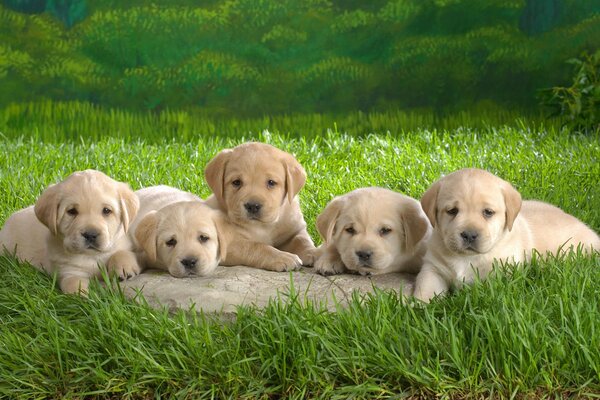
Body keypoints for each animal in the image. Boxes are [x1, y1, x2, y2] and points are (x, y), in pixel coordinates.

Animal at [0, 170, 140, 296]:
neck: (91, 256)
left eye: (106, 210)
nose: (90, 234)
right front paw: (84, 299)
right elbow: (74, 285)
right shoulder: (68, 272)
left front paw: (124, 267)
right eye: (72, 211)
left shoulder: (123, 243)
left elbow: (121, 252)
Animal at [204, 141, 316, 272]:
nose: (252, 206)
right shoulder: (229, 245)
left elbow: (302, 240)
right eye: (236, 182)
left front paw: (314, 252)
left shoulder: (295, 229)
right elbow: (258, 247)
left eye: (271, 182)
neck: (264, 226)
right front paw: (283, 257)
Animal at [412, 167, 600, 302]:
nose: (469, 235)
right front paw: (420, 307)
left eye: (488, 212)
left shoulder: (501, 274)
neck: (467, 258)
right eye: (452, 211)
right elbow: (426, 287)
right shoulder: (433, 268)